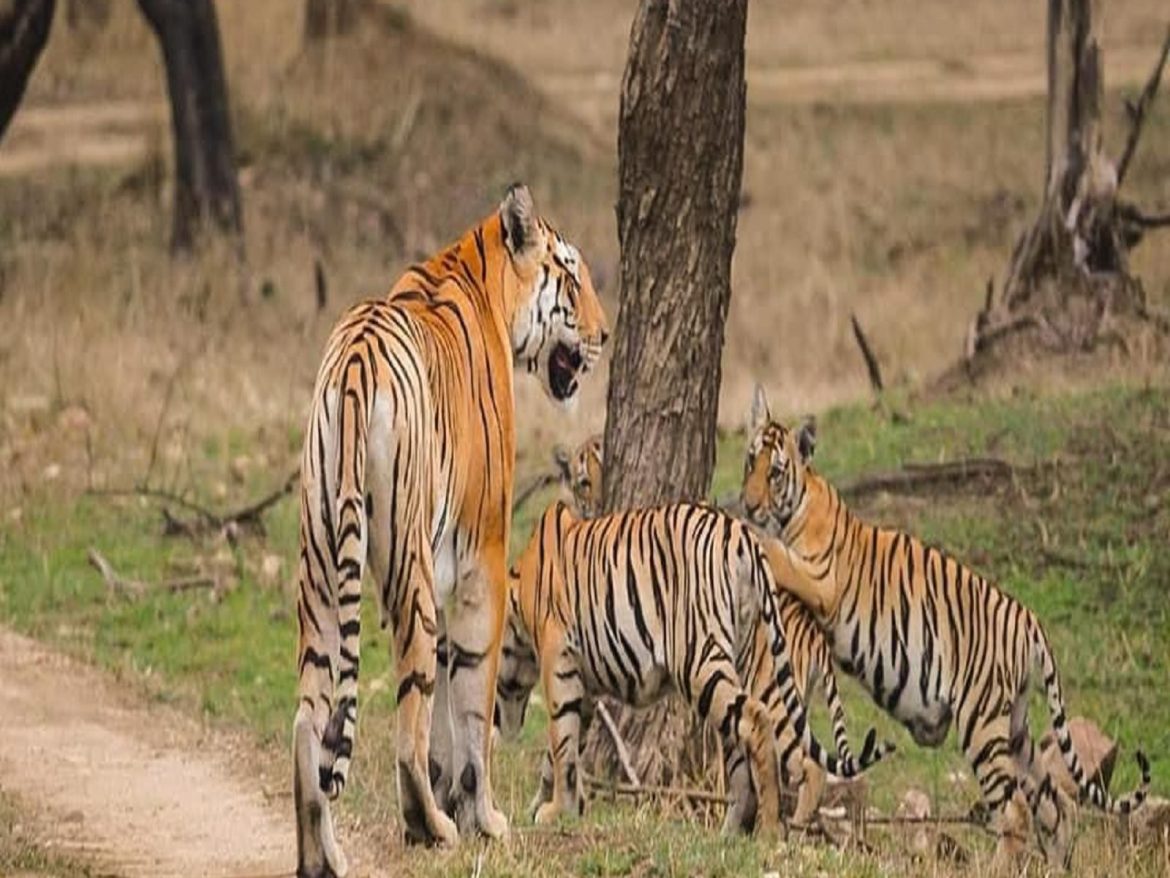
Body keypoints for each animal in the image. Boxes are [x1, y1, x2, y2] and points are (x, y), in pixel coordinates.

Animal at [292, 182, 608, 875]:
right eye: (573, 276)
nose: (606, 333)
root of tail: (355, 361)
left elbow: (445, 713)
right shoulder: (481, 560)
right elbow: (469, 708)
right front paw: (482, 818)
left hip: (322, 565)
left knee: (308, 719)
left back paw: (322, 857)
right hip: (405, 566)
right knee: (405, 724)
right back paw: (430, 826)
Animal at [491, 498, 884, 833]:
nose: (497, 721)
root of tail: (743, 535)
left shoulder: (560, 665)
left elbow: (561, 744)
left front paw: (553, 811)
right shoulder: (584, 686)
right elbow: (565, 751)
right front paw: (556, 807)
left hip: (699, 660)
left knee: (760, 726)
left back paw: (770, 830)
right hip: (748, 668)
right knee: (763, 752)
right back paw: (730, 835)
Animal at [739, 386, 1151, 866]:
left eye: (775, 473)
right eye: (750, 462)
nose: (748, 504)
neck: (798, 502)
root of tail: (1029, 618)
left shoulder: (820, 578)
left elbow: (773, 550)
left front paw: (746, 528)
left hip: (980, 720)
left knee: (1015, 809)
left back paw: (997, 868)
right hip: (1016, 729)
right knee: (1054, 803)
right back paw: (1055, 865)